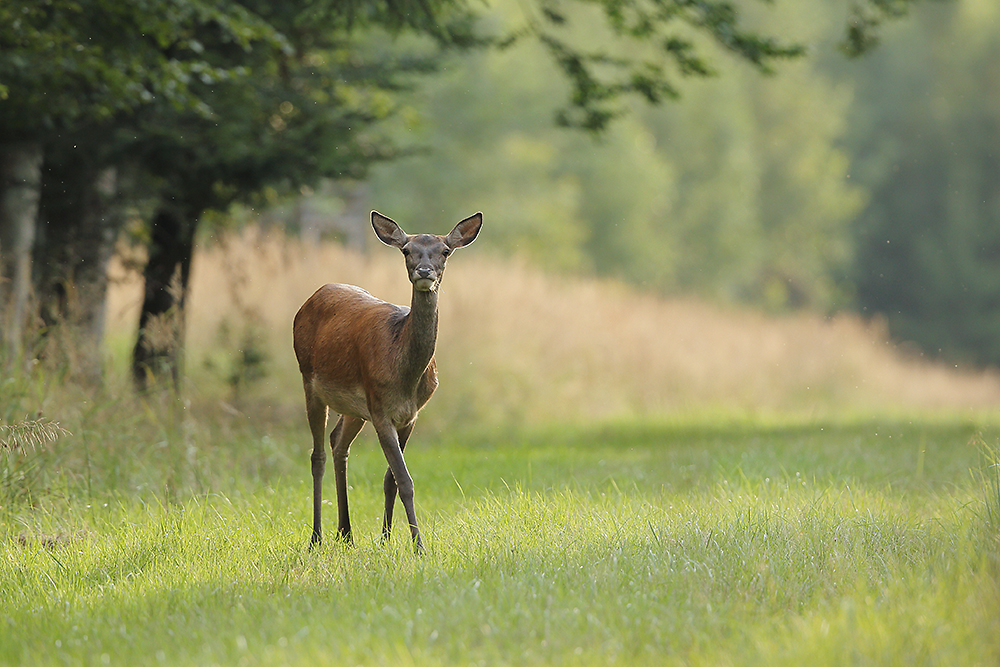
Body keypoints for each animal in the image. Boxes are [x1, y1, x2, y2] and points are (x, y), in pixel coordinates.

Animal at [292, 210, 482, 552]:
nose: (424, 271)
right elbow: (405, 480)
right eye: (406, 250)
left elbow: (391, 479)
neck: (405, 377)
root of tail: (312, 297)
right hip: (310, 382)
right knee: (317, 455)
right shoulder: (380, 409)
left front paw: (386, 539)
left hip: (354, 407)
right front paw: (419, 546)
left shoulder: (409, 415)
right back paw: (316, 537)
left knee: (338, 443)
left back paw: (346, 533)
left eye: (445, 251)